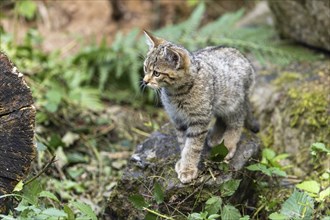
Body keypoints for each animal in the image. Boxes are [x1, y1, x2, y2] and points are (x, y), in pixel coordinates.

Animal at [142, 30, 258, 183]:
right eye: (145, 68)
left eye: (156, 73)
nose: (145, 81)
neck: (175, 93)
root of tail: (243, 56)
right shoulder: (178, 119)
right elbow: (183, 143)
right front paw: (183, 162)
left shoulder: (199, 120)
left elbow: (192, 147)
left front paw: (188, 169)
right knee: (221, 118)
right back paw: (215, 137)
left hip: (233, 102)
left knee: (237, 121)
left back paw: (228, 145)